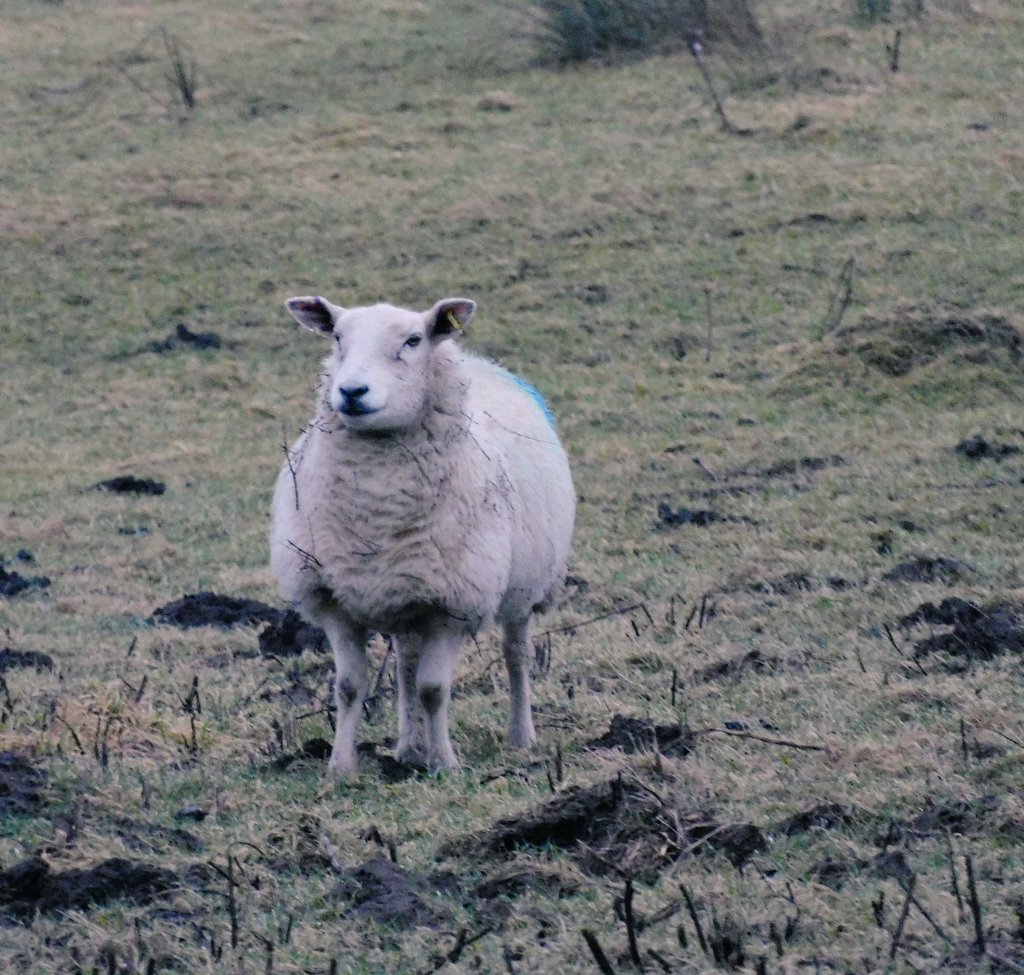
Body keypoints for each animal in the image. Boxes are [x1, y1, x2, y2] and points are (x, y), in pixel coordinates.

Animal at [270, 295, 575, 776]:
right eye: (337, 336)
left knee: (516, 656)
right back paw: (409, 748)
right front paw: (340, 768)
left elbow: (434, 689)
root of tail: (483, 365)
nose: (351, 392)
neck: (378, 510)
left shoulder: (453, 604)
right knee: (406, 668)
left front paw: (445, 763)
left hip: (522, 588)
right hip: (406, 593)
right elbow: (350, 685)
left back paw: (519, 736)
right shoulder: (334, 599)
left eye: (413, 340)